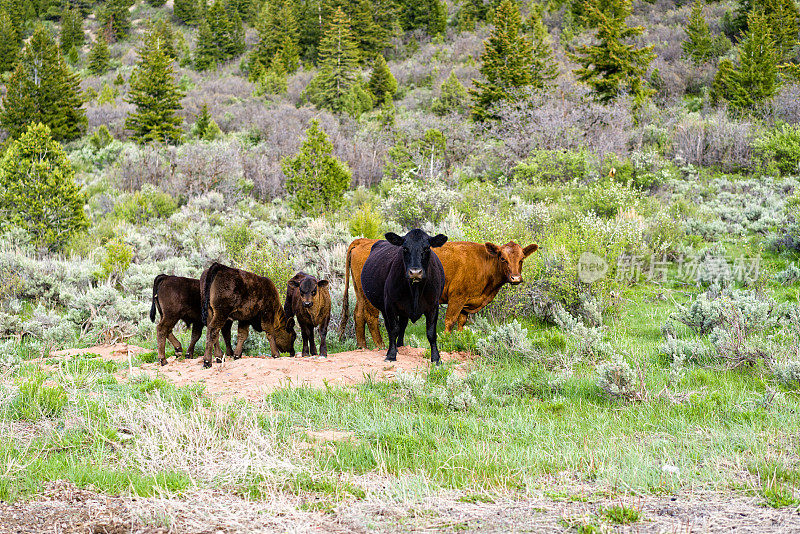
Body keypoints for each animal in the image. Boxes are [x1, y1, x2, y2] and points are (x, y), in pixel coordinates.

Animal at [338, 241, 536, 350]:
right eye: (503, 258)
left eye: (521, 259)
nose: (515, 278)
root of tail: (363, 241)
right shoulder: (457, 297)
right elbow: (450, 321)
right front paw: (446, 340)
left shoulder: (466, 302)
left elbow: (461, 323)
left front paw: (459, 338)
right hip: (372, 296)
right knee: (371, 317)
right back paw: (380, 346)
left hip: (360, 293)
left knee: (358, 314)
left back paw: (362, 346)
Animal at [360, 229, 446, 364]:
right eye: (405, 248)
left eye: (427, 248)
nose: (415, 272)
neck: (415, 291)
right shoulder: (390, 305)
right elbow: (394, 329)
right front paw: (391, 355)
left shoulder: (433, 306)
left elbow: (431, 333)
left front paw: (436, 358)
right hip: (385, 307)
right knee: (391, 328)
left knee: (403, 325)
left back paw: (400, 346)